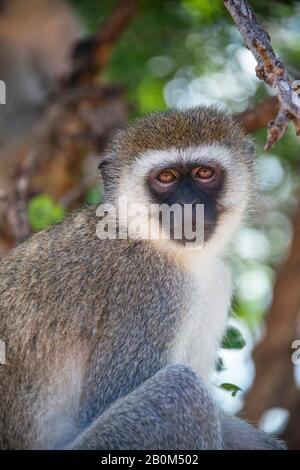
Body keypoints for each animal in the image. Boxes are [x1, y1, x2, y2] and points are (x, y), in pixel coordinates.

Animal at [0, 108, 284, 450]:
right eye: (166, 177)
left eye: (204, 173)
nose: (188, 207)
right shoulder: (152, 288)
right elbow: (104, 403)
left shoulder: (217, 282)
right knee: (183, 391)